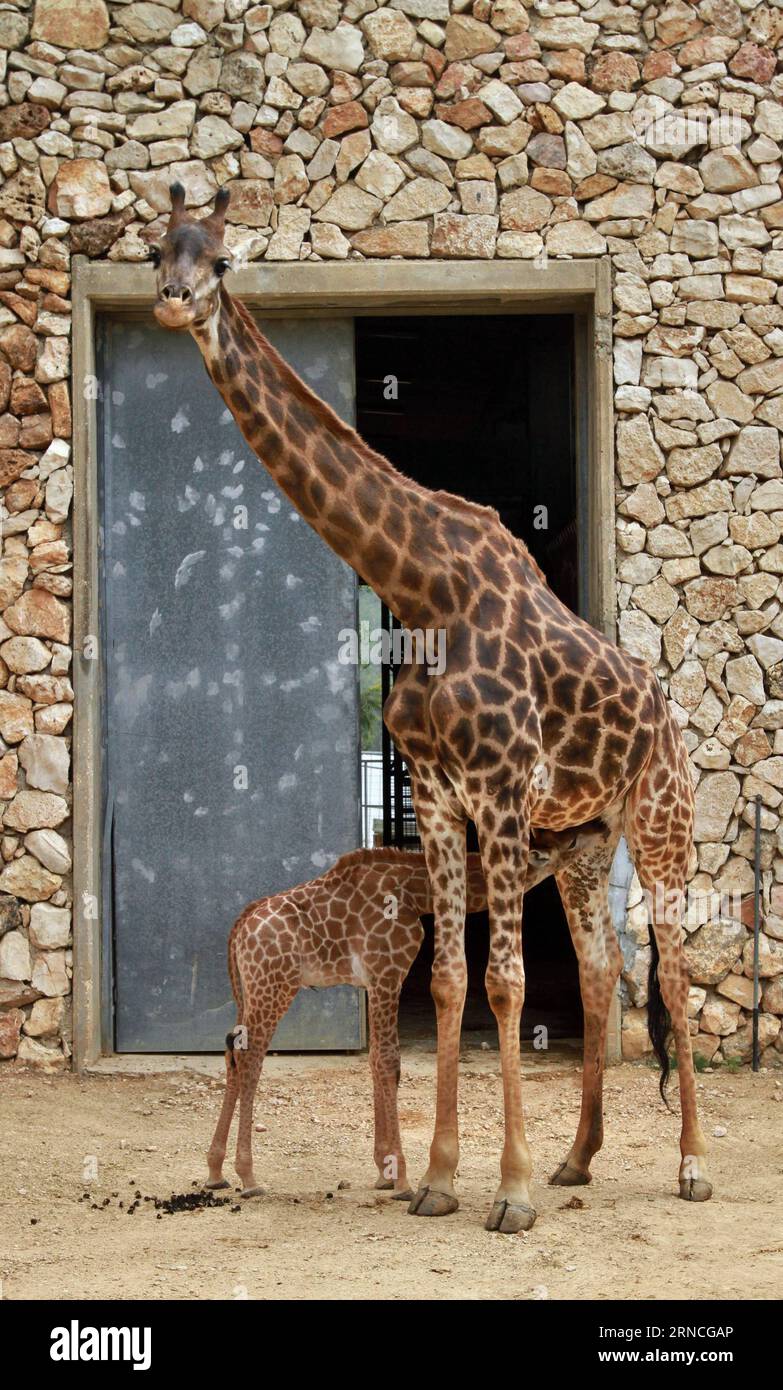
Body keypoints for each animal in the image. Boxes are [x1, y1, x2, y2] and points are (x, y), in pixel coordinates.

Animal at [205, 830, 594, 1200]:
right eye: (567, 843)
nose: (592, 833)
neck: (416, 894)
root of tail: (239, 927)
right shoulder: (387, 973)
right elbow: (388, 1062)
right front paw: (402, 1180)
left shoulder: (374, 981)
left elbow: (376, 1059)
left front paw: (384, 1173)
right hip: (275, 984)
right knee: (250, 1056)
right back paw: (248, 1177)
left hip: (250, 990)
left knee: (232, 1051)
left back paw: (215, 1171)